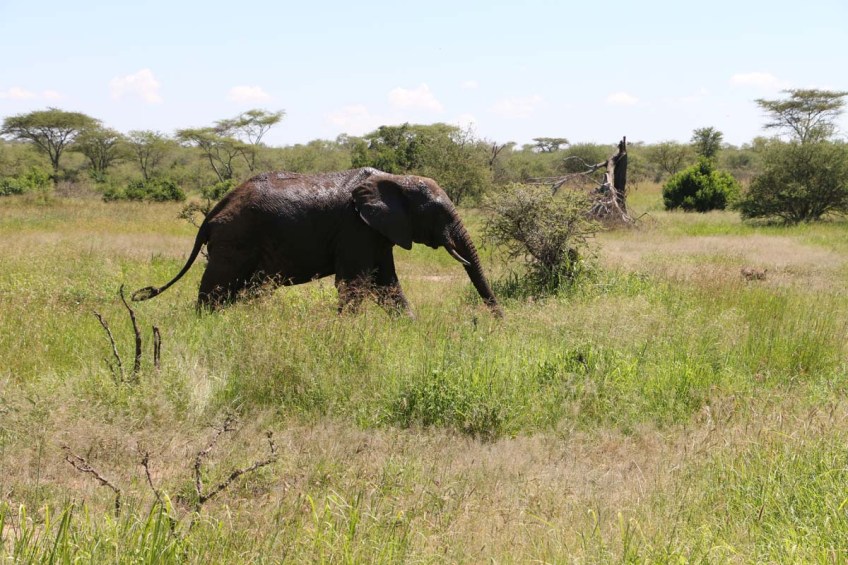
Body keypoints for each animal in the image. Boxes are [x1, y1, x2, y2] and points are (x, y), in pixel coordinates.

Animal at [132, 167, 502, 317]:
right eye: (439, 214)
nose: (500, 323)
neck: (394, 179)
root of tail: (213, 212)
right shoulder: (355, 229)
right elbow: (355, 283)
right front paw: (345, 330)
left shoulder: (377, 231)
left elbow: (387, 285)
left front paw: (410, 327)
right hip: (234, 239)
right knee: (218, 286)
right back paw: (206, 323)